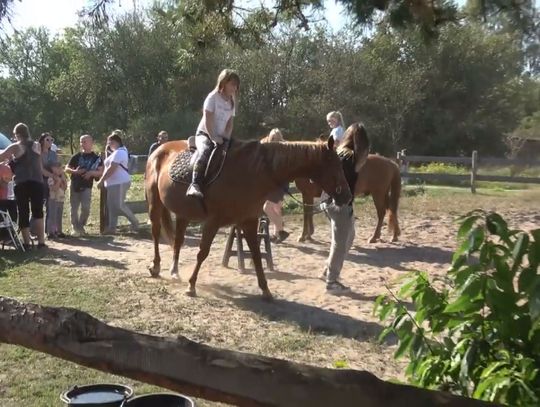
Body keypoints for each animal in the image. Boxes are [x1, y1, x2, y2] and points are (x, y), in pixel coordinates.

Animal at [146, 129, 370, 302]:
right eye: (335, 165)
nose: (347, 195)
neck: (251, 172)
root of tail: (160, 150)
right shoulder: (213, 221)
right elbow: (203, 252)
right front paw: (191, 285)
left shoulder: (249, 221)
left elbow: (256, 255)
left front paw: (266, 290)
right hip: (154, 204)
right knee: (156, 232)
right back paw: (156, 267)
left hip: (183, 213)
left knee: (178, 240)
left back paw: (174, 272)